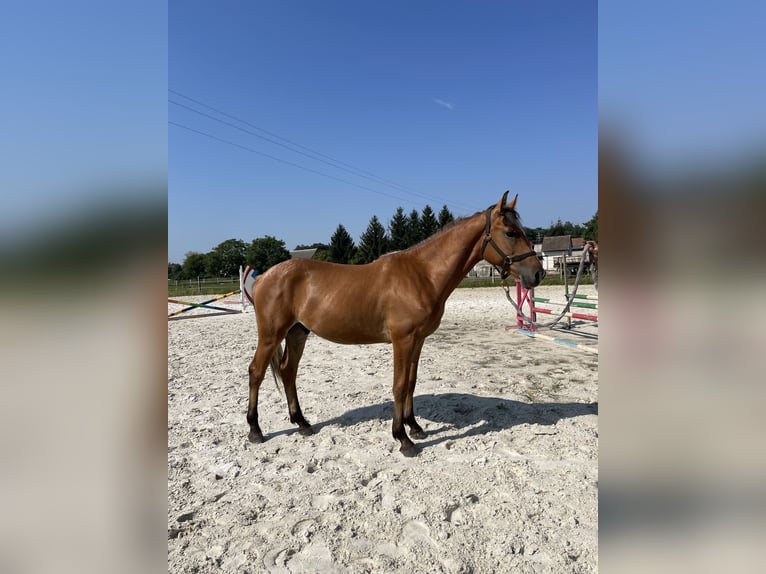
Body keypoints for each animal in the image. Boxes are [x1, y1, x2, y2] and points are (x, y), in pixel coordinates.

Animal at [246, 194, 544, 460]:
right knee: (256, 372)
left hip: (298, 332)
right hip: (271, 335)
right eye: (510, 232)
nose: (537, 273)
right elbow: (399, 385)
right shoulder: (403, 340)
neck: (422, 274)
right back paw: (255, 430)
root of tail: (264, 276)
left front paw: (415, 427)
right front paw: (403, 439)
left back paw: (302, 423)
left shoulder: (418, 340)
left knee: (288, 372)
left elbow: (411, 382)